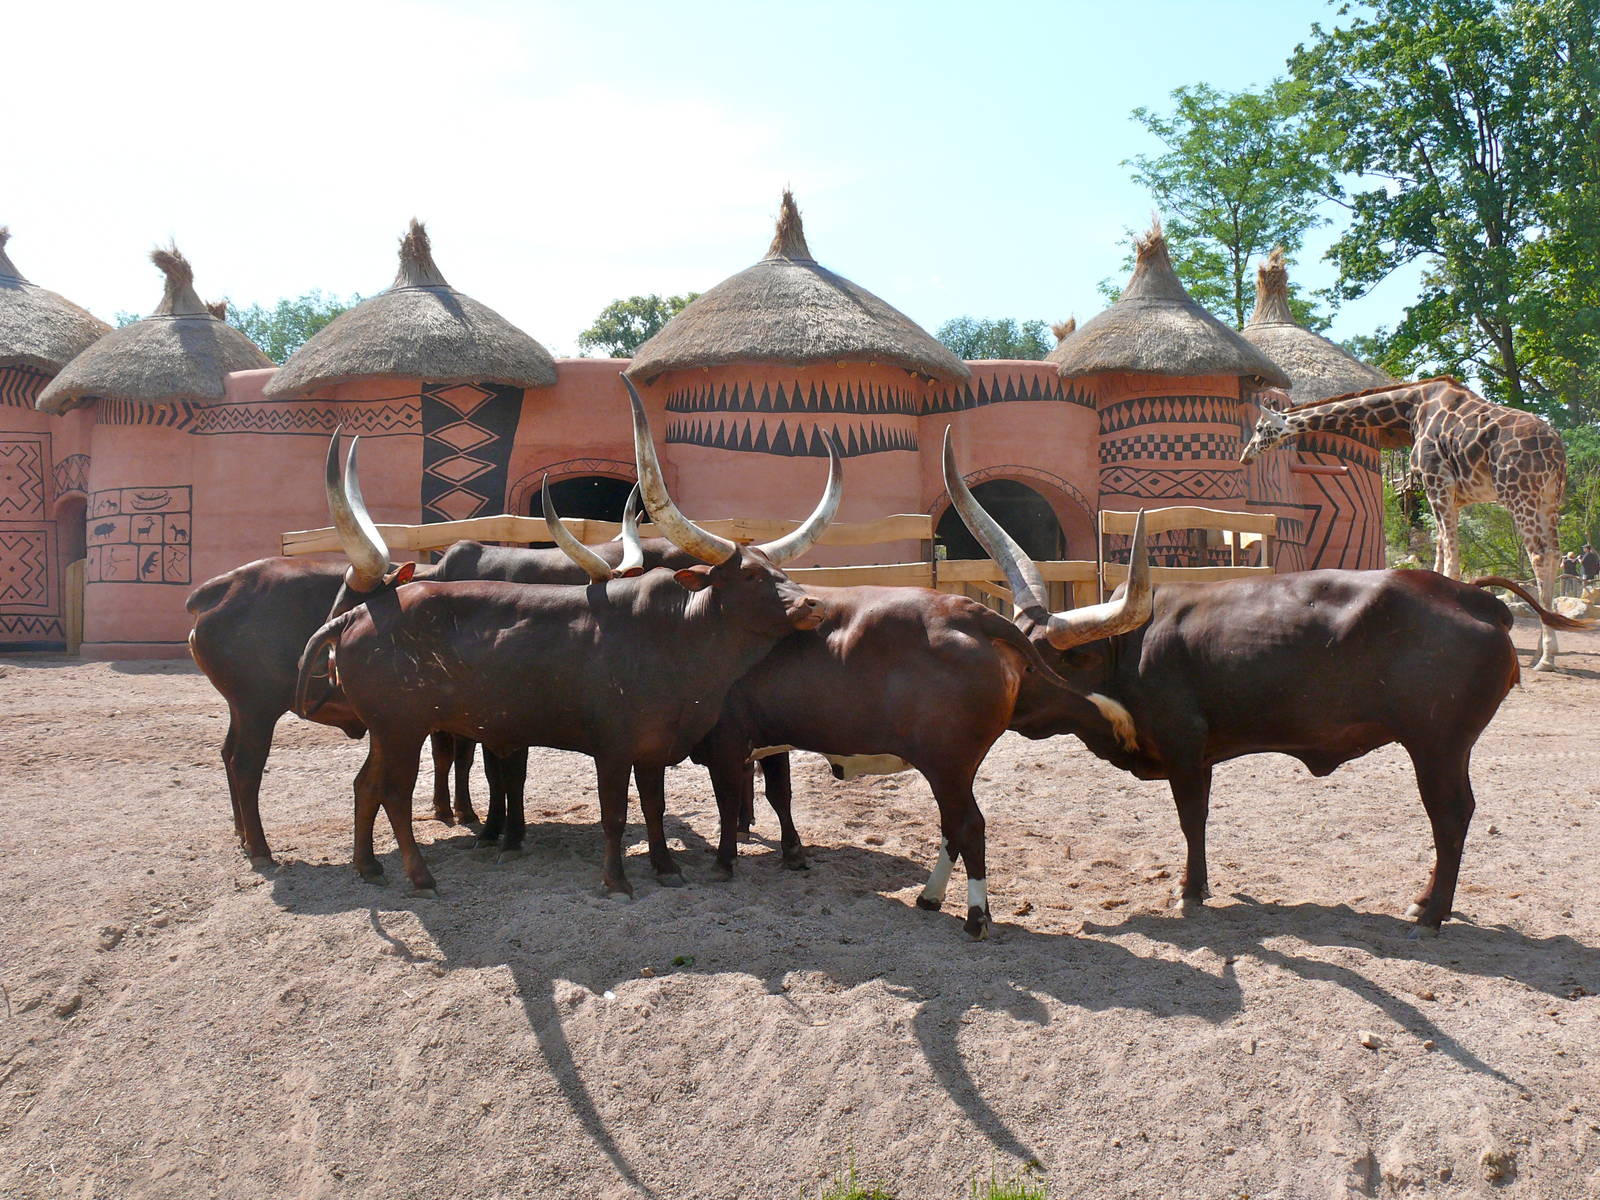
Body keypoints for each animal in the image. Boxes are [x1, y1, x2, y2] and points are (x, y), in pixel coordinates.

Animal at [185, 436, 700, 865]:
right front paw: (489, 827)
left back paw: (252, 841)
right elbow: (484, 766)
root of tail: (212, 592)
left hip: (250, 707)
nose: (322, 671)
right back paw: (257, 845)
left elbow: (491, 767)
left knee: (236, 759)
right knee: (243, 762)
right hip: (254, 705)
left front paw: (491, 826)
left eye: (352, 604)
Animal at [291, 380, 837, 896]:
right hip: (402, 728)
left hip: (386, 731)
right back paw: (420, 876)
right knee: (395, 793)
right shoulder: (612, 747)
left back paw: (369, 866)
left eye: (778, 570)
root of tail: (359, 614)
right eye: (750, 576)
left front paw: (666, 868)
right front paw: (615, 881)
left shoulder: (653, 747)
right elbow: (614, 814)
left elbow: (654, 808)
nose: (813, 604)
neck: (676, 636)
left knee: (366, 786)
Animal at [689, 504, 1152, 939]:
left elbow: (727, 801)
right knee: (953, 825)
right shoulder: (766, 740)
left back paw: (975, 917)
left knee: (968, 824)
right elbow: (776, 794)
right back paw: (932, 897)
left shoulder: (725, 741)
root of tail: (971, 613)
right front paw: (788, 853)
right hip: (955, 766)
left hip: (945, 763)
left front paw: (724, 860)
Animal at [941, 432, 1595, 932]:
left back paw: (1429, 910)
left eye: (1034, 663)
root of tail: (1474, 598)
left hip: (1439, 744)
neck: (1130, 651)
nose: (985, 700)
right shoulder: (1197, 753)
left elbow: (1191, 818)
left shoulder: (1185, 748)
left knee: (1452, 814)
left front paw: (1190, 889)